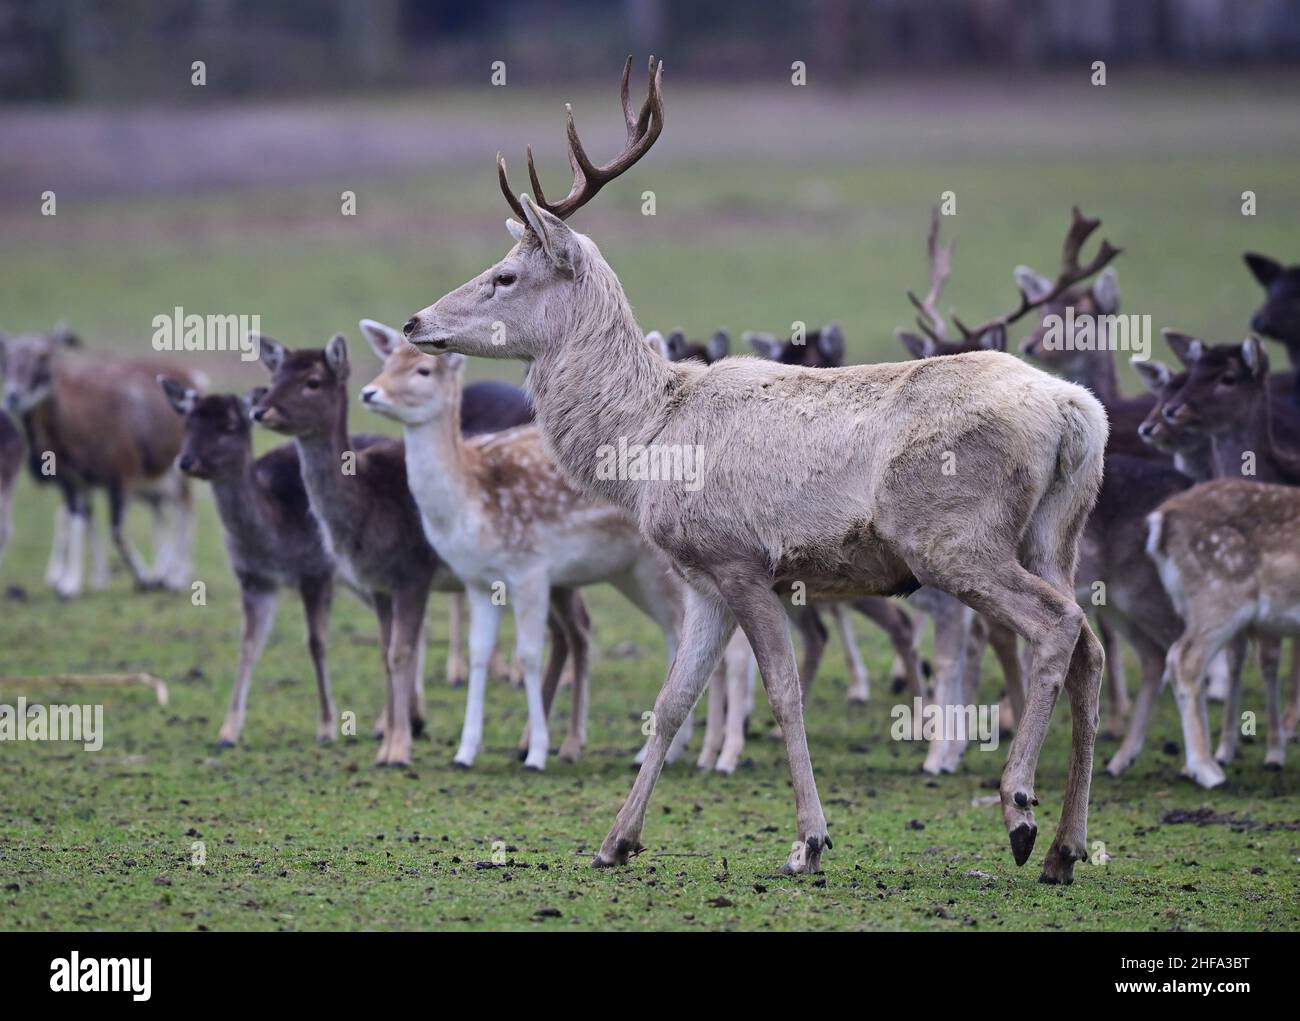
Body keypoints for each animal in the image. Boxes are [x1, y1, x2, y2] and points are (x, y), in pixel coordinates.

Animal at [403, 55, 1107, 879]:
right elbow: (672, 701)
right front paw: (615, 842)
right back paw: (1066, 846)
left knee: (1058, 625)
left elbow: (783, 690)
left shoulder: (740, 558)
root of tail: (1075, 409)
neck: (648, 439)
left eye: (506, 276)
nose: (416, 321)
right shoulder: (700, 575)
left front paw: (809, 841)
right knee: (1090, 643)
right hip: (1054, 534)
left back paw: (1020, 812)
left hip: (954, 536)